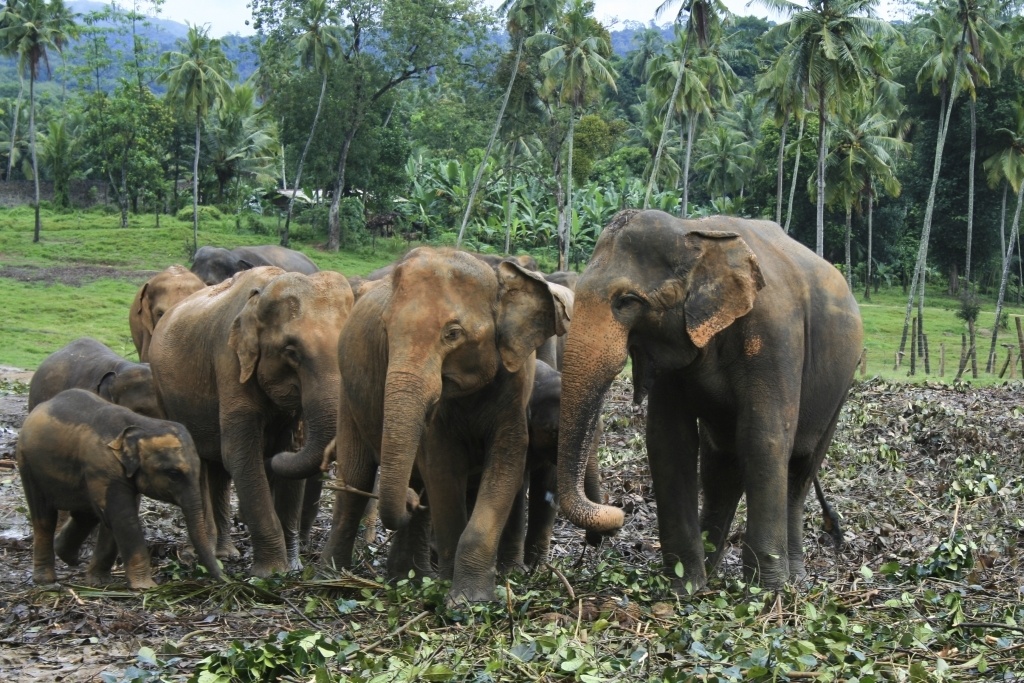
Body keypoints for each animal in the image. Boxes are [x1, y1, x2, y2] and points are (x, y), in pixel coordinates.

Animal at [16, 389, 222, 589]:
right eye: (173, 473)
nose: (224, 578)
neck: (142, 425)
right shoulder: (103, 465)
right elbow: (123, 517)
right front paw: (145, 587)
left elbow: (115, 518)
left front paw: (99, 581)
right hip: (27, 464)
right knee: (45, 518)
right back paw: (46, 581)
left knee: (86, 514)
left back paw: (68, 556)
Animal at [149, 267, 354, 576]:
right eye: (291, 352)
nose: (274, 454)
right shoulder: (229, 363)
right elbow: (240, 454)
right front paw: (271, 573)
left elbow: (292, 460)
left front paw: (293, 567)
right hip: (163, 394)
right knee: (202, 461)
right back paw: (206, 553)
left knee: (217, 469)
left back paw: (226, 552)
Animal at [271, 247, 571, 602]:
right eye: (386, 331)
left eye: (453, 333)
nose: (411, 500)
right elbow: (442, 468)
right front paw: (458, 594)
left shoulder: (516, 386)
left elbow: (506, 465)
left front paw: (471, 599)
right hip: (348, 398)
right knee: (356, 478)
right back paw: (331, 580)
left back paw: (408, 578)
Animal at [557, 210, 863, 591]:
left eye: (626, 300)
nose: (617, 514)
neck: (695, 232)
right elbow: (669, 441)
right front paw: (684, 586)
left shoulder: (775, 335)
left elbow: (764, 438)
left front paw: (765, 591)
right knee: (722, 468)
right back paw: (713, 569)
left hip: (841, 386)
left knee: (799, 470)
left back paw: (793, 582)